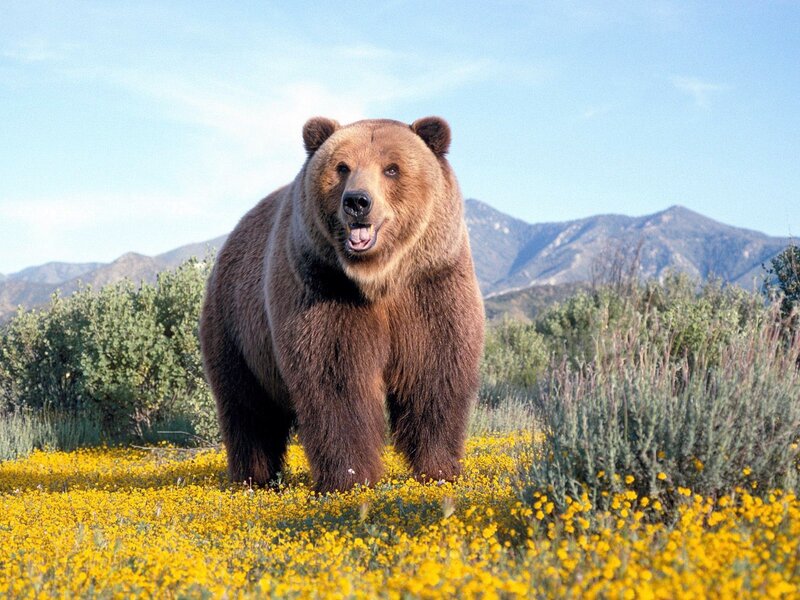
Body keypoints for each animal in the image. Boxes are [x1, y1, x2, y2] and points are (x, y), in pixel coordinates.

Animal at [199, 116, 485, 493]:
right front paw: (349, 477)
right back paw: (253, 477)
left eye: (392, 168)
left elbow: (434, 372)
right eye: (342, 167)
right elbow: (336, 379)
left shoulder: (431, 285)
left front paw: (439, 469)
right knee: (248, 408)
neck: (379, 278)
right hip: (236, 327)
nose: (357, 201)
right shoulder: (324, 288)